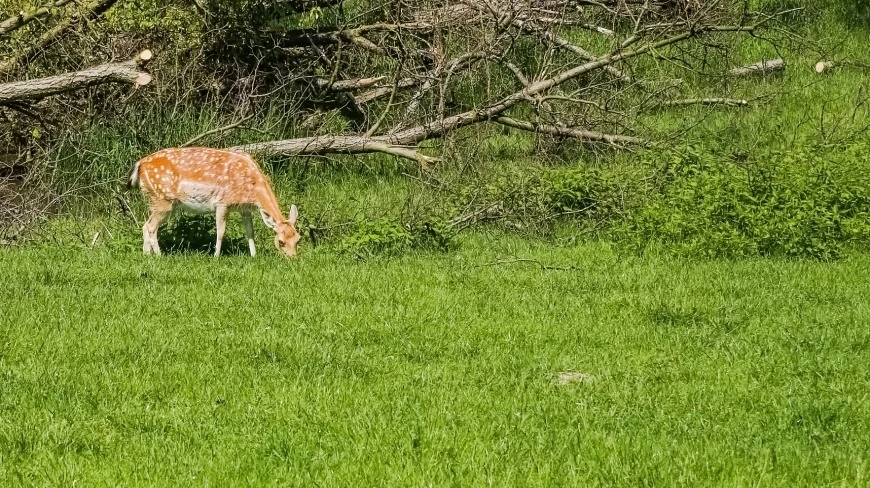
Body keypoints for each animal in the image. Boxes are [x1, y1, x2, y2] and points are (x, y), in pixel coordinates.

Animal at [126, 147, 304, 258]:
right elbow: (221, 231)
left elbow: (250, 231)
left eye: (298, 239)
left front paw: (254, 255)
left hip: (157, 200)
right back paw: (159, 255)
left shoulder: (244, 208)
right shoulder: (222, 202)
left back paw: (147, 255)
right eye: (281, 242)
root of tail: (139, 165)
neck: (252, 187)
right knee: (150, 227)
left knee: (146, 226)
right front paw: (216, 256)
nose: (293, 258)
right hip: (163, 199)